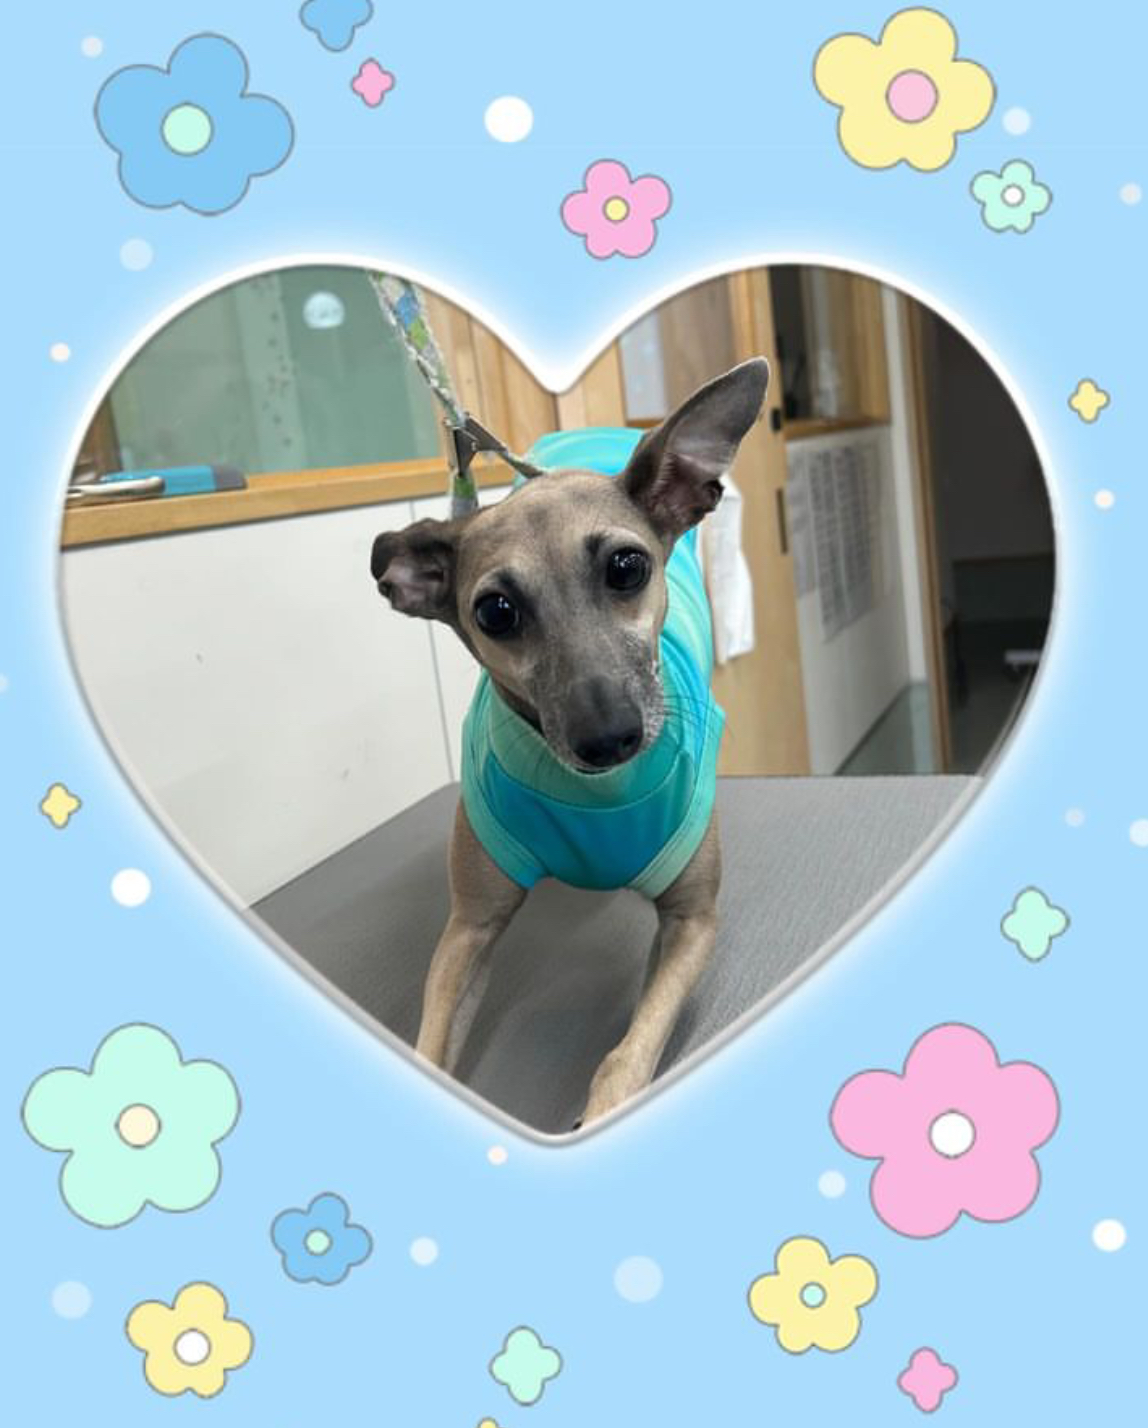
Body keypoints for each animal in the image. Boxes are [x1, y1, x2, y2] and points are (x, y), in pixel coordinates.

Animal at [370, 358, 769, 1126]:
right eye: (496, 611)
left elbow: (629, 1051)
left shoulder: (692, 921)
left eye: (626, 568)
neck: (597, 797)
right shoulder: (467, 928)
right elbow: (432, 1043)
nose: (608, 738)